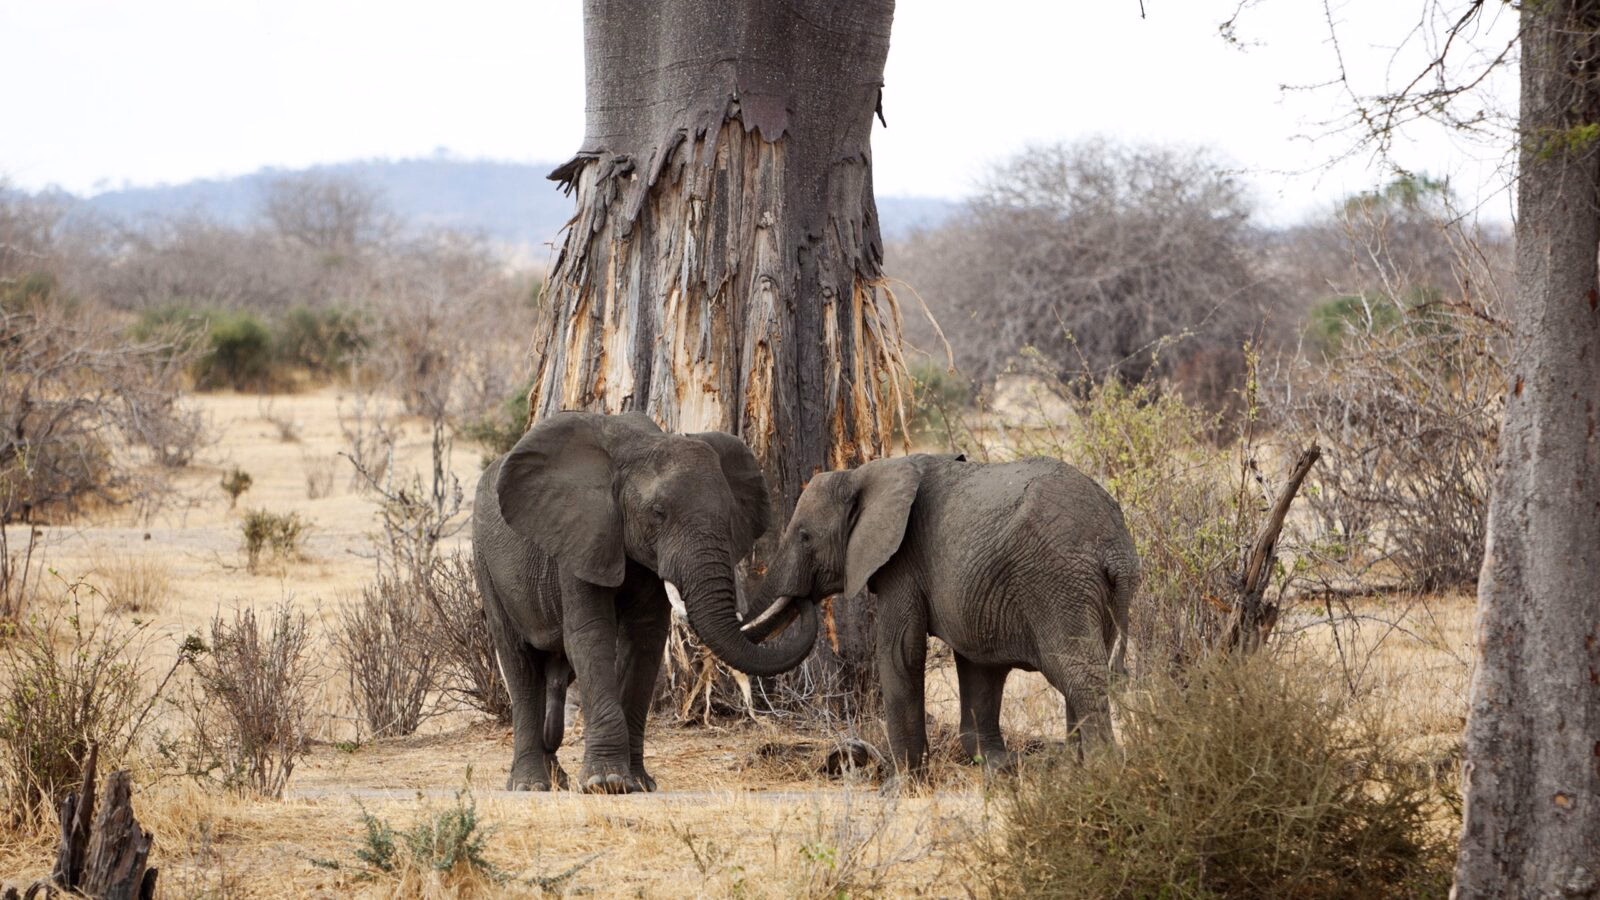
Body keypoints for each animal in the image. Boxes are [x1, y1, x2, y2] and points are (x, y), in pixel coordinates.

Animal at [471, 411, 818, 793]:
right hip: (484, 561)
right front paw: (606, 783)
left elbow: (645, 640)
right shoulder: (584, 535)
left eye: (729, 515)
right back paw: (530, 785)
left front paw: (637, 783)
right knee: (518, 661)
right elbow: (591, 636)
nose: (803, 591)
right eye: (658, 513)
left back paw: (555, 780)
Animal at [752, 452, 1138, 780]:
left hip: (1057, 584)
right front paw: (998, 767)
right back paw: (1075, 771)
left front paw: (902, 784)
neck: (863, 473)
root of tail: (1116, 547)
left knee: (1079, 674)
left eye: (804, 536)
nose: (803, 599)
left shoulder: (902, 563)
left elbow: (900, 652)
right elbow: (978, 666)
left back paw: (1102, 772)